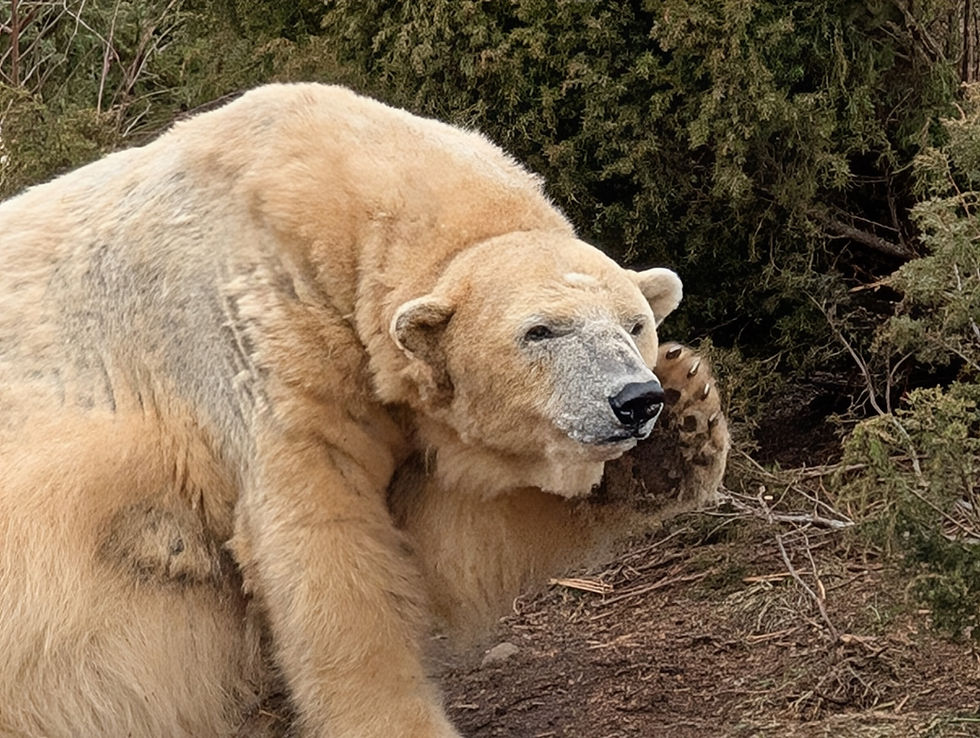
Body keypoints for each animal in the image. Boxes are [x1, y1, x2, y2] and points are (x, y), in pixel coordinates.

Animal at [0, 82, 728, 738]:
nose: (634, 400)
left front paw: (681, 424)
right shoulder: (251, 341)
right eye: (540, 331)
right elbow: (327, 546)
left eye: (635, 324)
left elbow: (451, 536)